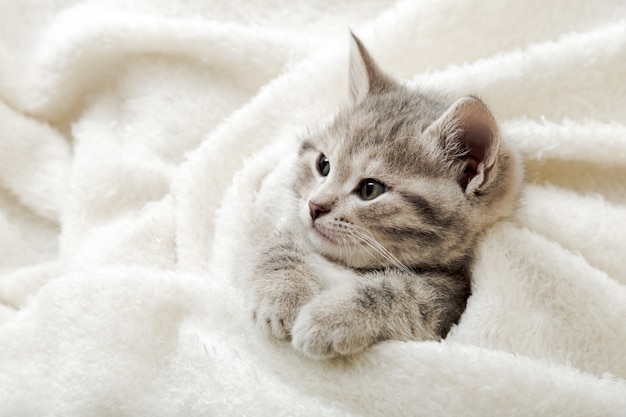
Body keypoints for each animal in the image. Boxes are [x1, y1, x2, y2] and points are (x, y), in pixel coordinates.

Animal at [244, 34, 520, 360]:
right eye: (323, 164)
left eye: (370, 189)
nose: (315, 206)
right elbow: (281, 238)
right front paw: (281, 292)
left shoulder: (453, 299)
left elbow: (402, 293)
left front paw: (329, 318)